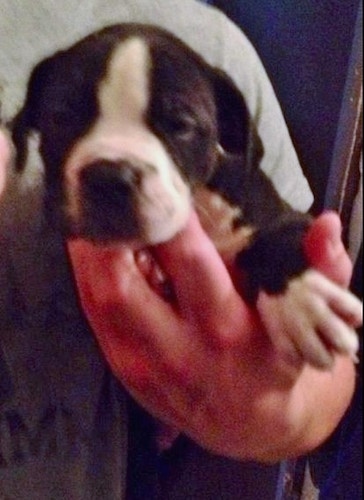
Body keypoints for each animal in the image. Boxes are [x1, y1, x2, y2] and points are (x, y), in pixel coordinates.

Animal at [10, 23, 362, 372]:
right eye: (60, 117)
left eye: (180, 125)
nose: (108, 177)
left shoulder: (279, 211)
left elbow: (279, 236)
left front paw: (305, 300)